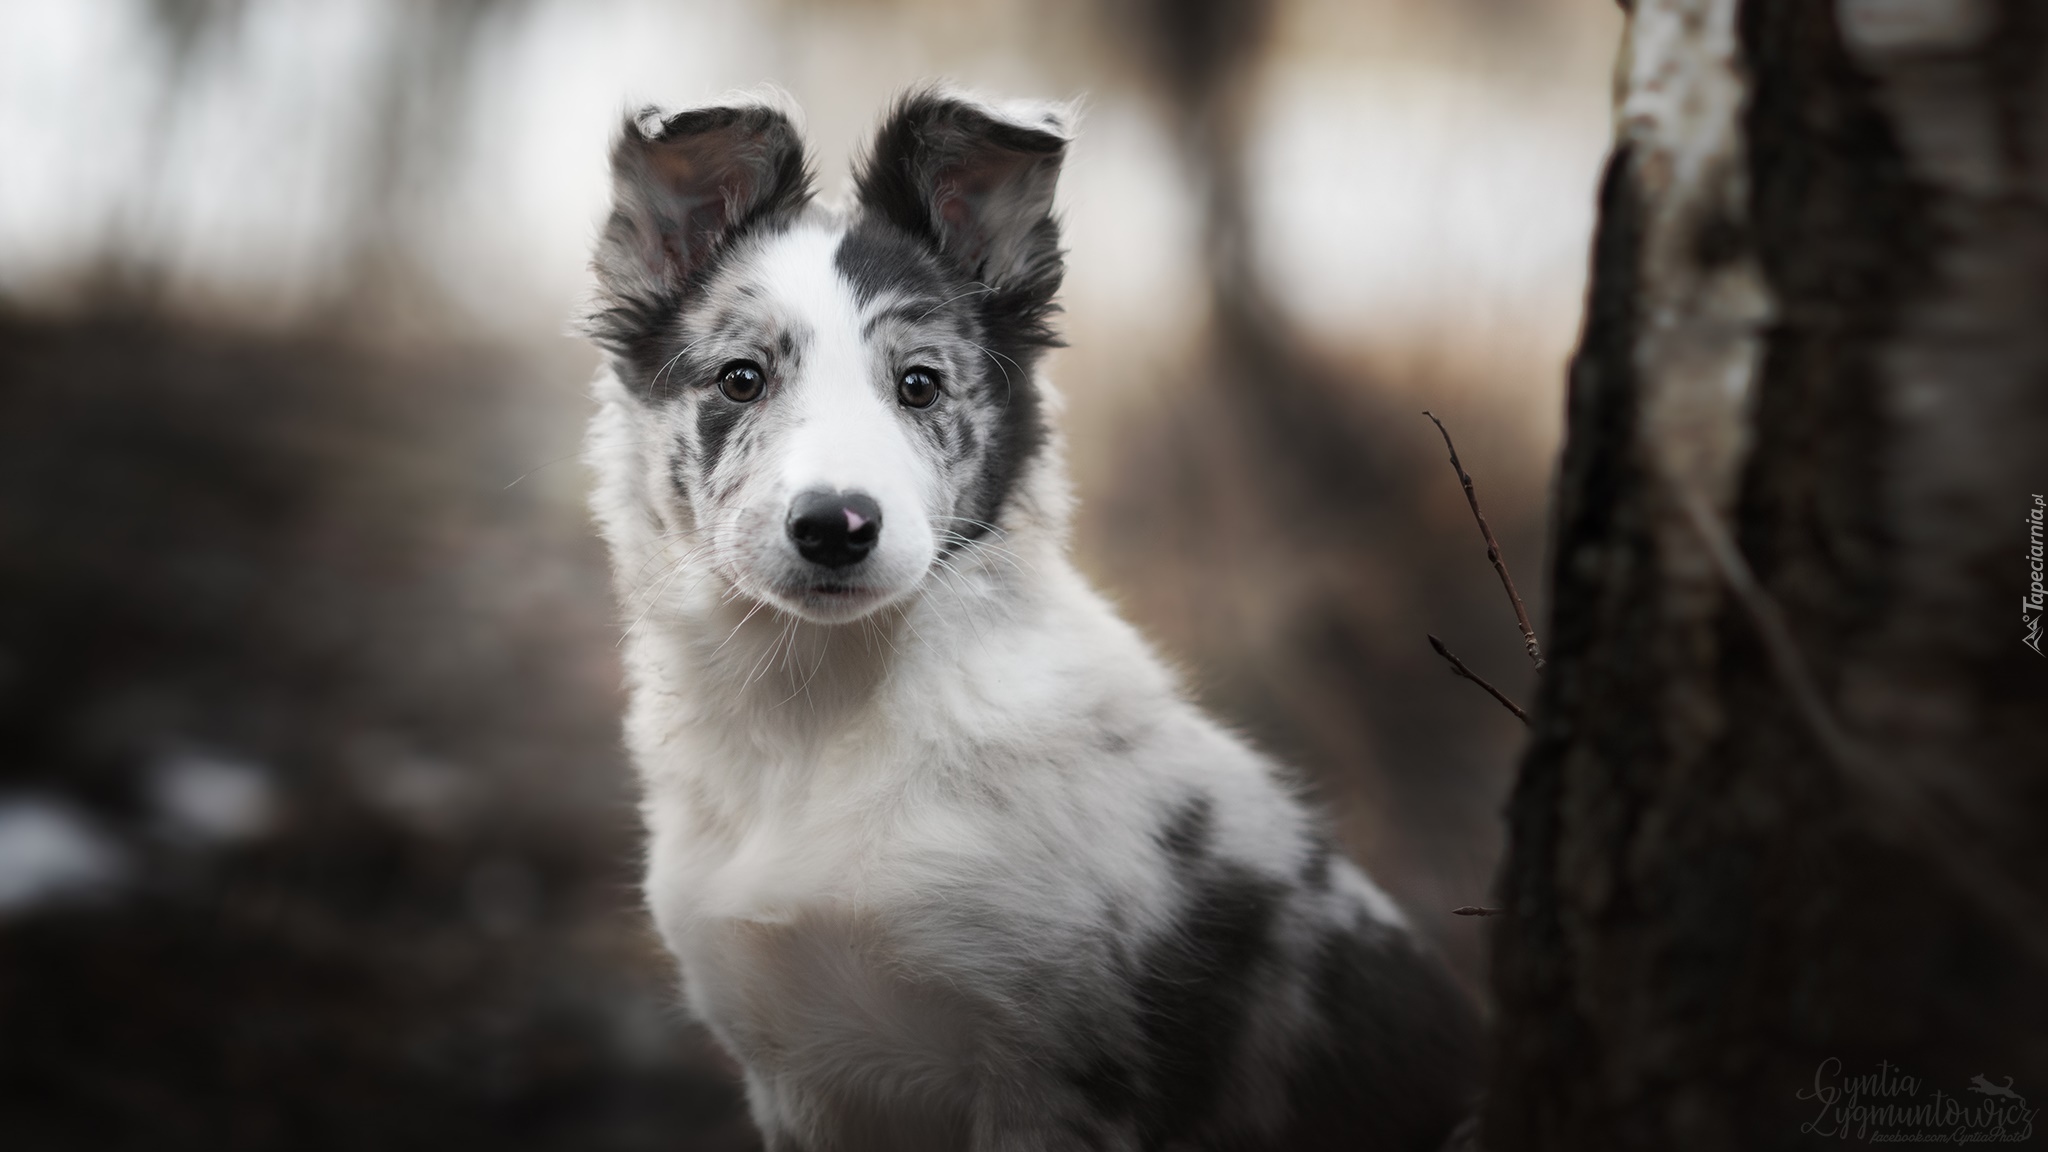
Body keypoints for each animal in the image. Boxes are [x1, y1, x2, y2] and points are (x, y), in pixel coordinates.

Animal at [585, 85, 1482, 1139]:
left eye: (920, 384)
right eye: (740, 378)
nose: (836, 527)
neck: (826, 710)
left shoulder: (1060, 1075)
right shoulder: (791, 1075)